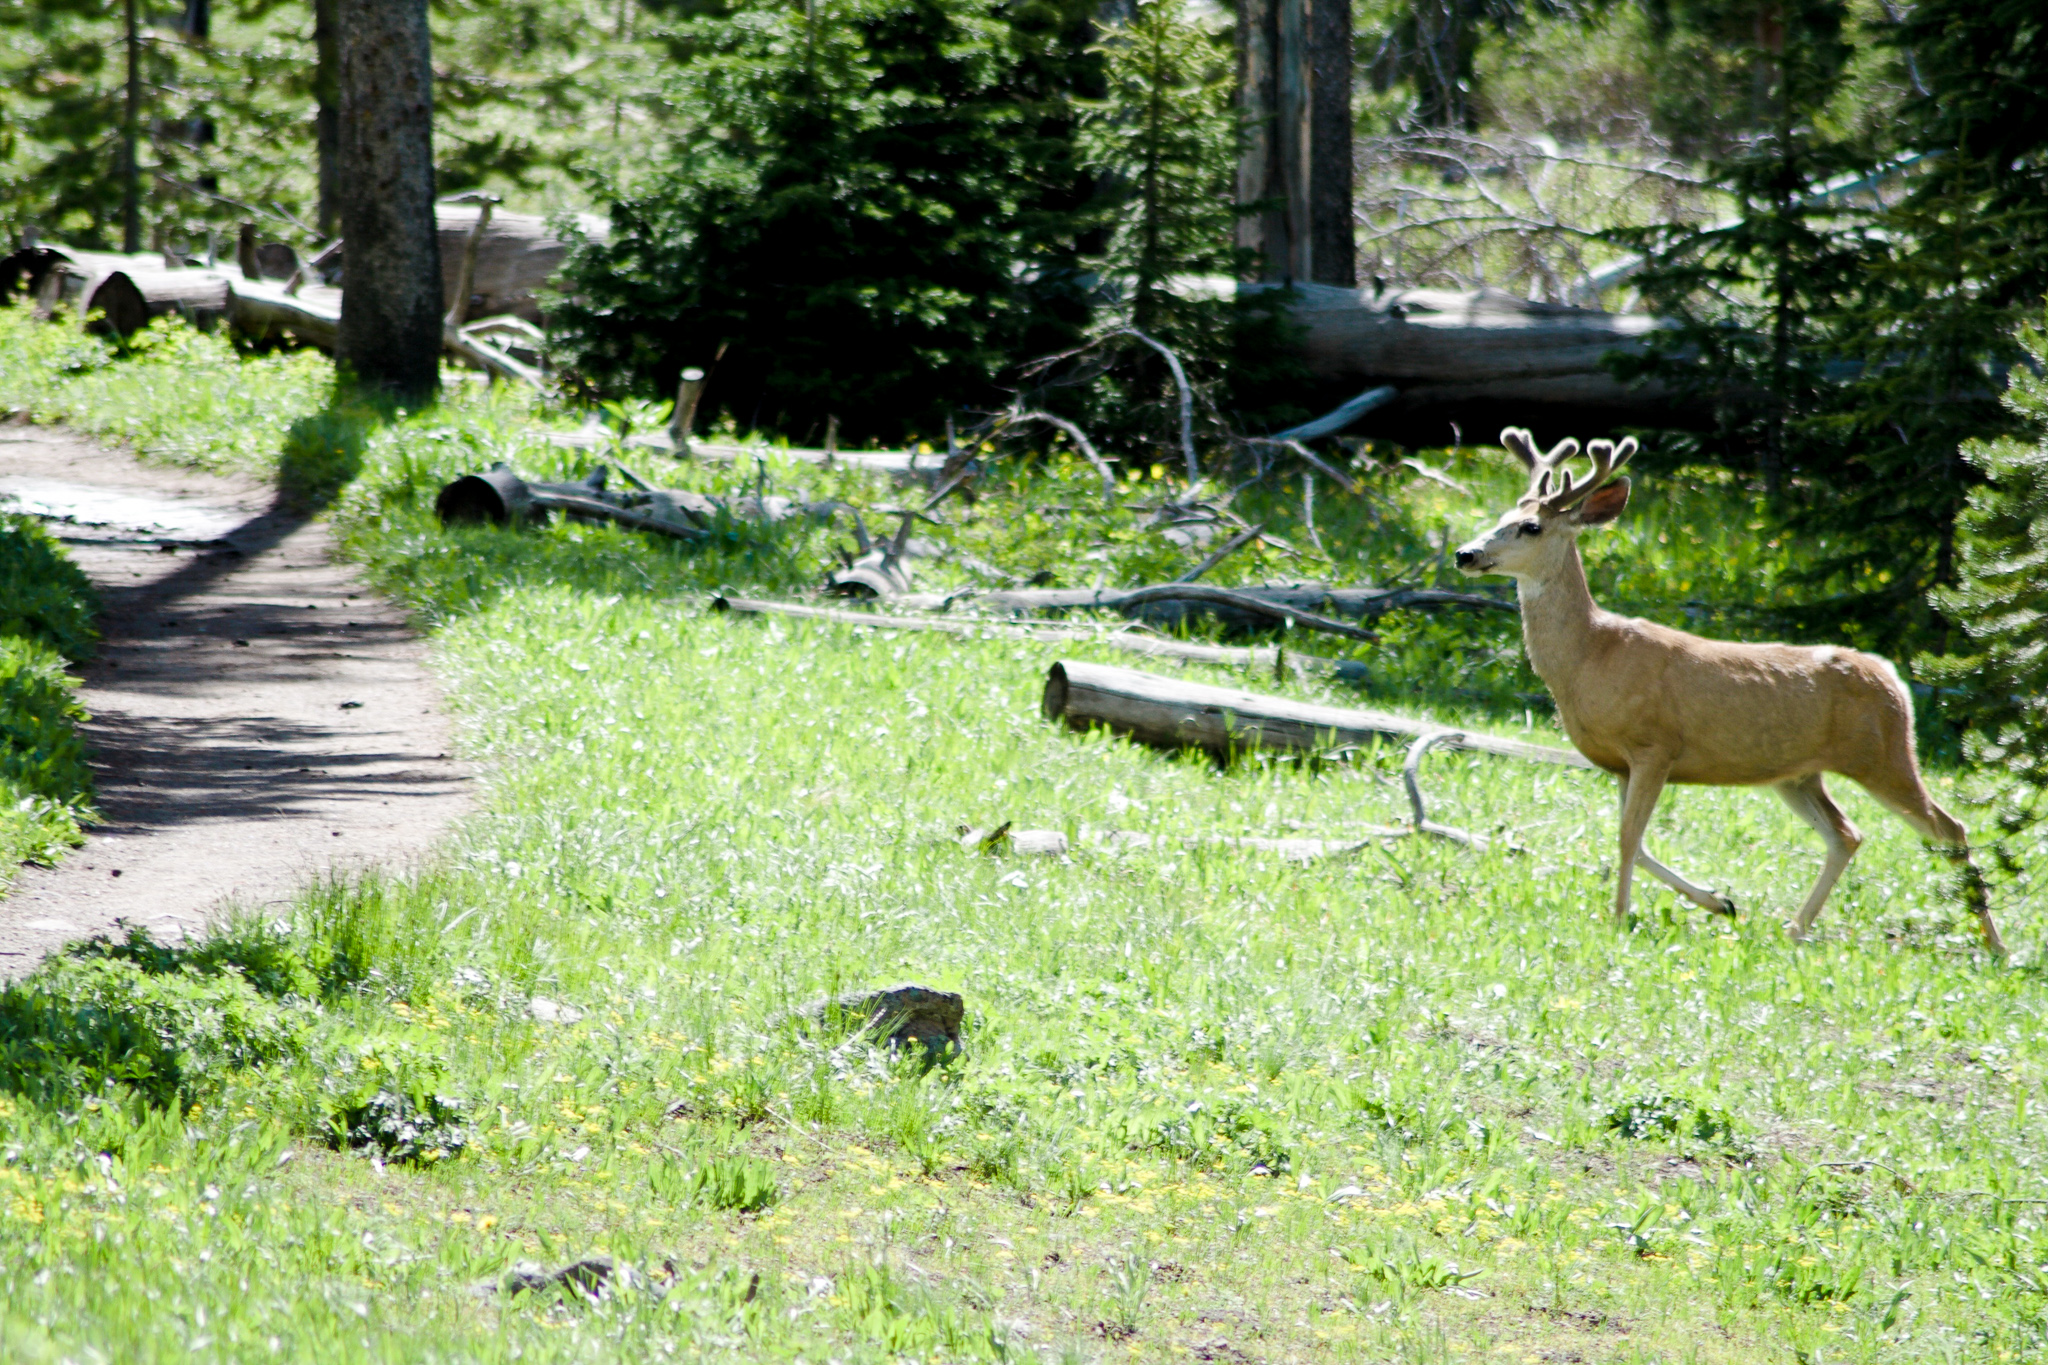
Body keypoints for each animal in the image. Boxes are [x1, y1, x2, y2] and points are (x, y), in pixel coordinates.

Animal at [1452, 427, 2007, 954]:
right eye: (1501, 514)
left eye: (1531, 526)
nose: (1465, 553)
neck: (1589, 657)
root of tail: (1896, 683)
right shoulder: (1618, 763)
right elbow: (1637, 843)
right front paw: (1721, 902)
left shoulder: (1655, 744)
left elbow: (1629, 840)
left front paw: (1619, 917)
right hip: (1799, 775)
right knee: (1847, 834)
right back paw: (1795, 928)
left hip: (1883, 756)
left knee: (1950, 829)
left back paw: (1994, 945)